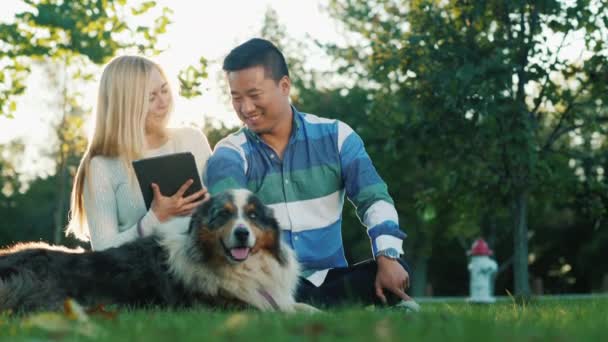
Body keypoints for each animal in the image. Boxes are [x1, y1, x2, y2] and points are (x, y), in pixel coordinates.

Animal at [1, 188, 318, 314]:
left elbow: (307, 309)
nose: (242, 234)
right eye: (223, 215)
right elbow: (277, 312)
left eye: (253, 216)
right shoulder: (221, 306)